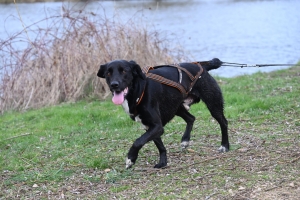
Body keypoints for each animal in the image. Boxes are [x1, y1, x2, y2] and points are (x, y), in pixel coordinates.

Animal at [97, 58, 229, 169]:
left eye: (124, 71)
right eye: (108, 73)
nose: (114, 85)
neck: (139, 91)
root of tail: (202, 65)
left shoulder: (157, 126)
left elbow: (138, 141)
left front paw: (131, 158)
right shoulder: (151, 126)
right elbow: (159, 145)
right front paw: (163, 162)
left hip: (213, 103)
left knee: (223, 122)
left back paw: (225, 146)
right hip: (176, 107)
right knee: (191, 118)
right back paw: (185, 140)